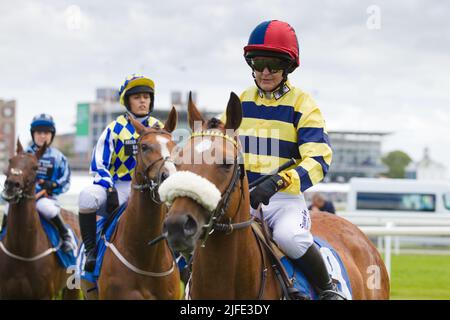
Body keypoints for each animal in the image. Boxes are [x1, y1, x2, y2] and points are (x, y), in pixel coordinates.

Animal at [0, 141, 81, 300]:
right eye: (11, 160)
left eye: (35, 167)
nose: (11, 185)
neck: (22, 252)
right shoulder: (6, 293)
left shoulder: (44, 295)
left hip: (73, 284)